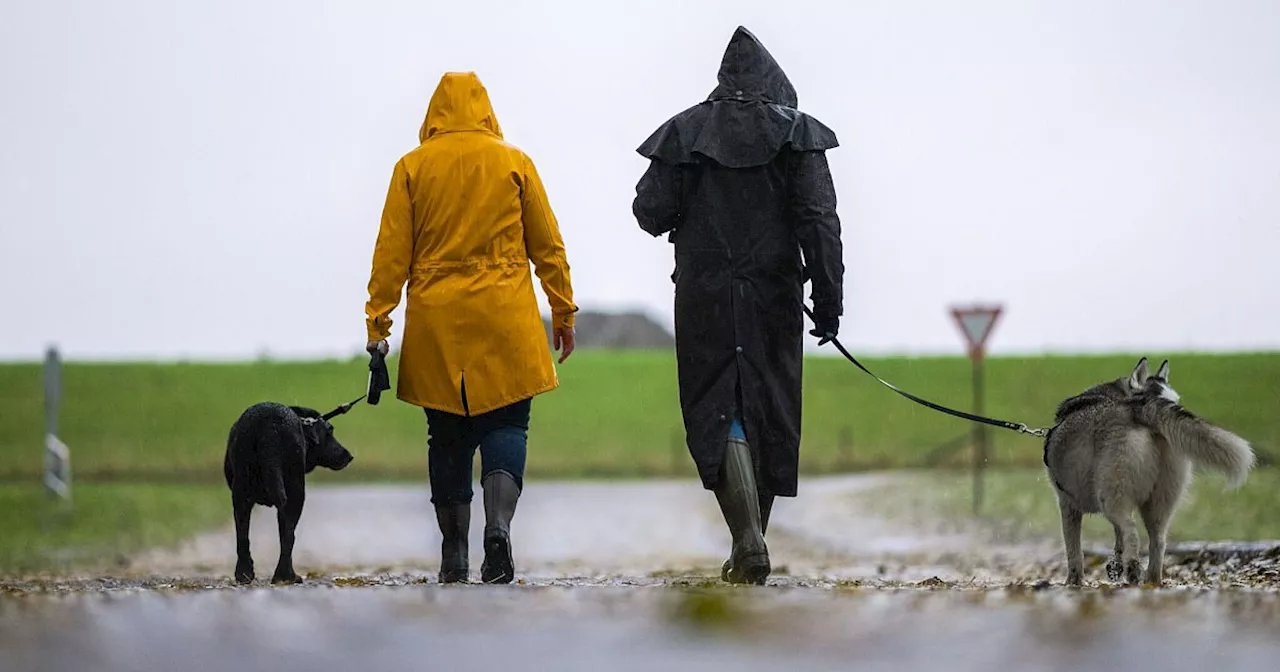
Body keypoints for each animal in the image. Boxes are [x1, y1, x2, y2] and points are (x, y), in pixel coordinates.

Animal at [225, 399, 360, 581]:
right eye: (329, 432)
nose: (349, 456)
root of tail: (270, 425)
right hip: (295, 492)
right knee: (288, 536)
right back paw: (286, 575)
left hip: (242, 493)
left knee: (243, 536)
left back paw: (245, 573)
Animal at [1044, 358, 1254, 583]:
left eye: (1175, 399)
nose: (1176, 406)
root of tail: (1138, 409)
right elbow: (1117, 536)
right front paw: (1115, 564)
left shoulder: (1067, 505)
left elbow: (1074, 551)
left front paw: (1073, 582)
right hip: (1159, 501)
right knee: (1158, 541)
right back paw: (1152, 581)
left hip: (1110, 496)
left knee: (1131, 531)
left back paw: (1133, 570)